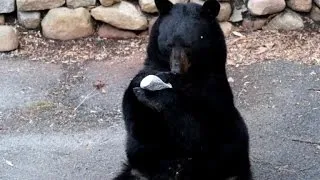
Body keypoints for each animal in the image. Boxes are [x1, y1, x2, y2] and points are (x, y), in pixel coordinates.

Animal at [114, 0, 251, 179]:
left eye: (189, 45)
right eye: (169, 44)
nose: (176, 69)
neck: (186, 77)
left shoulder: (213, 89)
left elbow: (200, 130)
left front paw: (158, 96)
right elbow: (140, 128)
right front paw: (144, 89)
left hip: (231, 151)